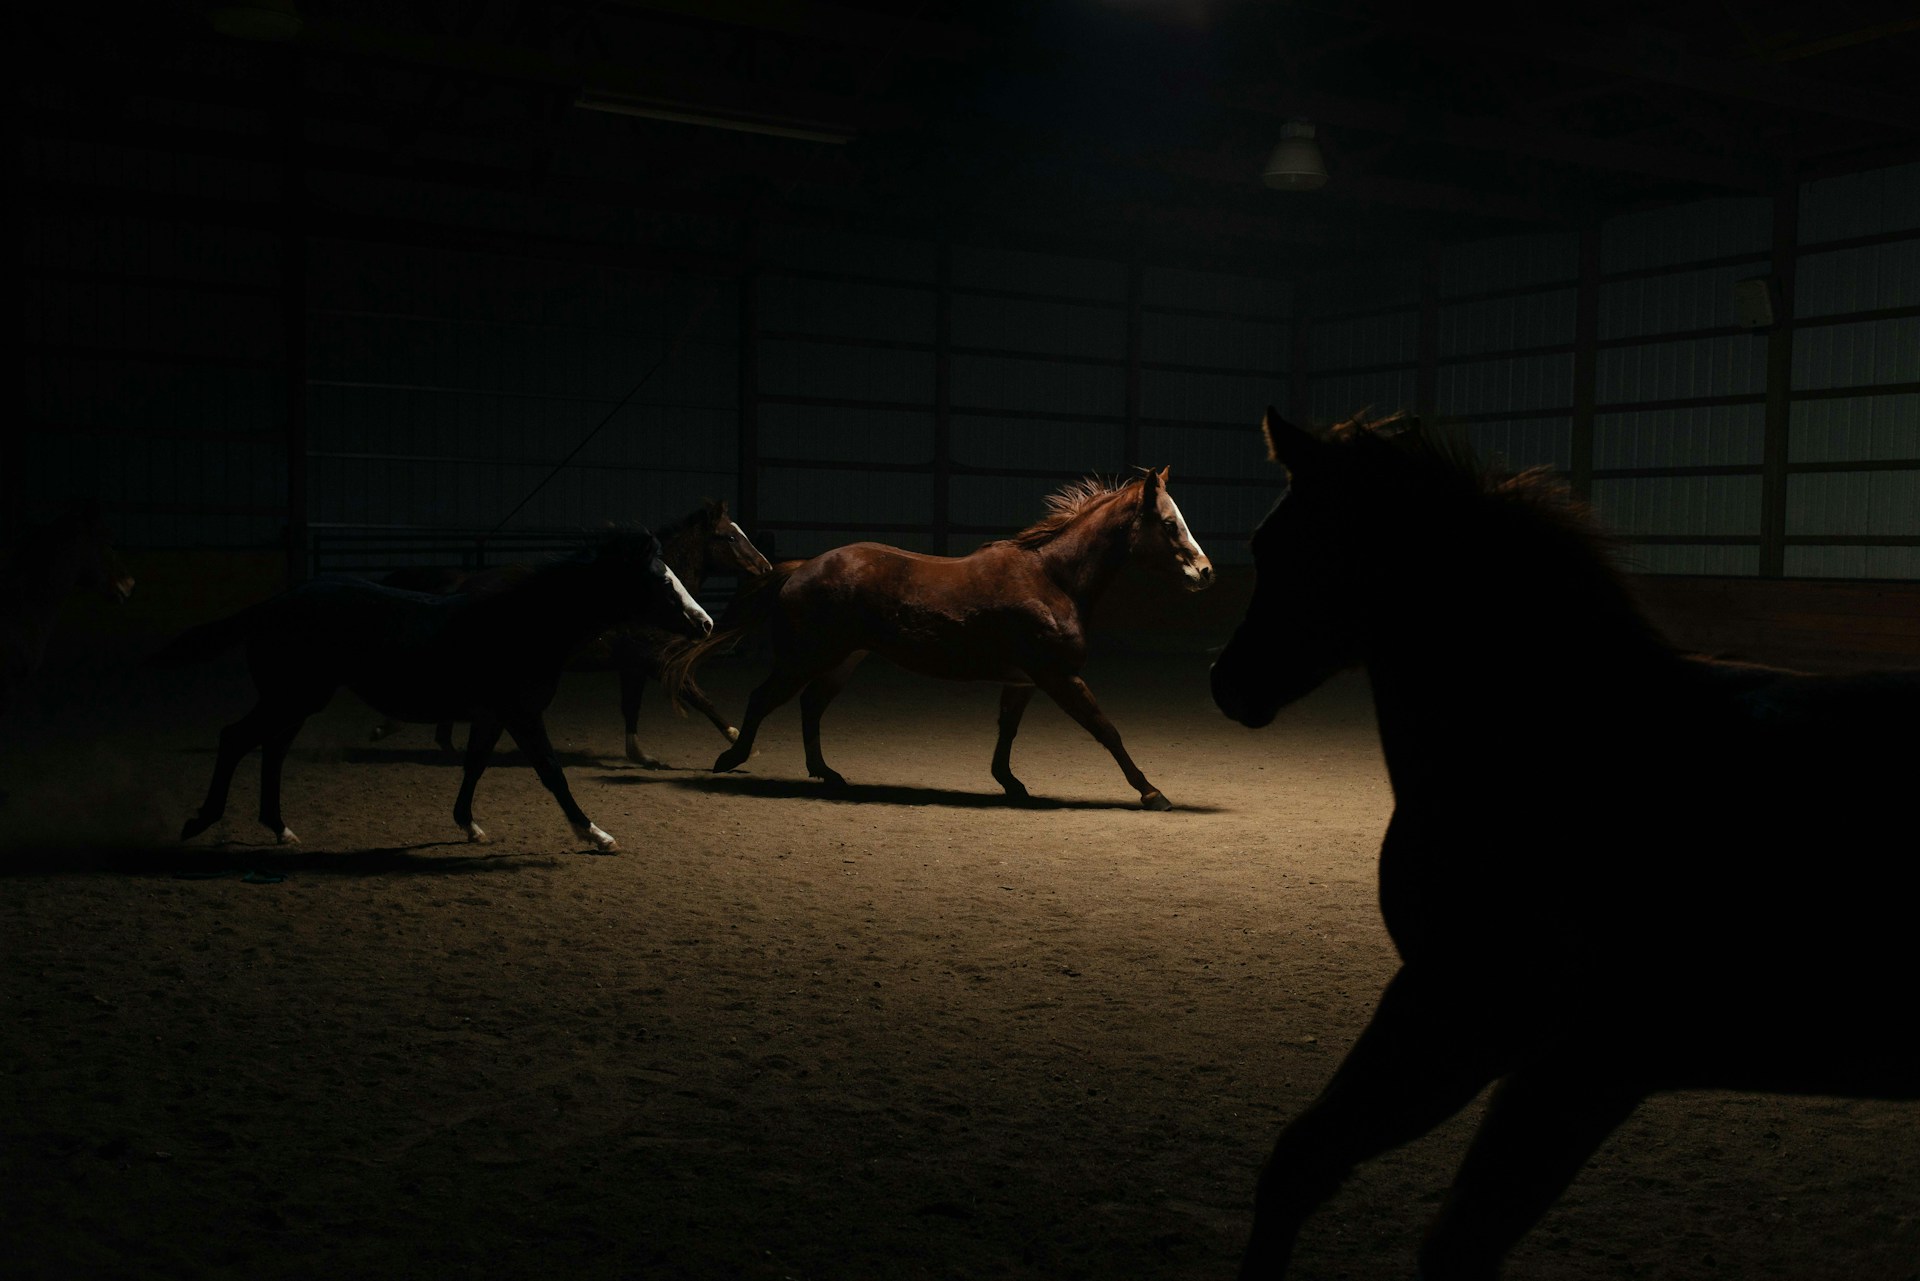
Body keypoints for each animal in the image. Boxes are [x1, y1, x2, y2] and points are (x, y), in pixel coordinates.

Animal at [155, 530, 712, 852]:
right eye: (663, 582)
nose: (705, 623)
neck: (522, 625)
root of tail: (273, 603)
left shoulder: (492, 715)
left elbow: (474, 765)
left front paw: (469, 826)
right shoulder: (522, 713)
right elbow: (552, 772)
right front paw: (595, 834)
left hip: (298, 701)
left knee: (271, 752)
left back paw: (279, 828)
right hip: (290, 697)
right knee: (235, 739)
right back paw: (200, 822)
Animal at [369, 500, 771, 765]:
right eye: (731, 537)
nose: (766, 568)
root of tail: (462, 583)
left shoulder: (633, 665)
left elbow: (632, 707)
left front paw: (639, 754)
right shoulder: (653, 660)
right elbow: (700, 697)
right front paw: (740, 741)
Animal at [670, 467, 1213, 808]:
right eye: (1170, 524)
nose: (1206, 572)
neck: (1052, 578)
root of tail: (802, 567)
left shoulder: (1023, 681)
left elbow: (1007, 732)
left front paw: (1010, 783)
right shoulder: (1058, 676)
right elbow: (1106, 730)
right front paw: (1151, 792)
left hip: (843, 658)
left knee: (811, 706)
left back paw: (826, 773)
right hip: (804, 656)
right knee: (764, 698)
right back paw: (732, 758)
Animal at [1208, 407, 1920, 1279]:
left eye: (1291, 544)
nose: (1228, 681)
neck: (1571, 741)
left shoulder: (1503, 1028)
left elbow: (1402, 1212)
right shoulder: (1521, 1042)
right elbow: (1324, 1176)